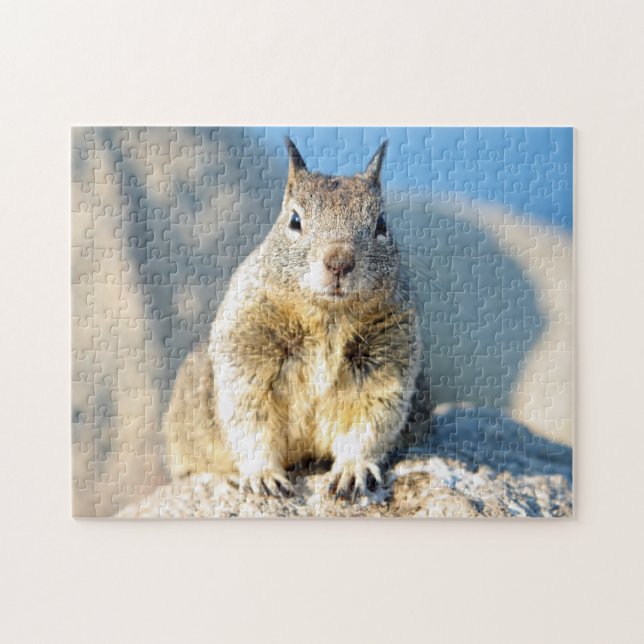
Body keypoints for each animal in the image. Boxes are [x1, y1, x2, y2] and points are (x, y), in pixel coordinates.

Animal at [167, 138, 424, 499]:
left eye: (382, 224)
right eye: (294, 220)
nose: (339, 261)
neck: (329, 319)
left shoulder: (386, 362)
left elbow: (369, 422)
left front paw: (353, 469)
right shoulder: (247, 352)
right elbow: (250, 420)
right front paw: (263, 475)